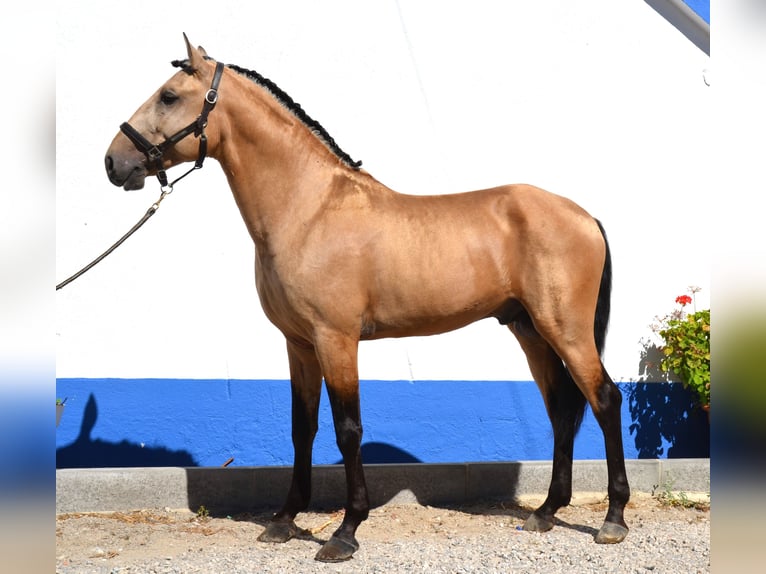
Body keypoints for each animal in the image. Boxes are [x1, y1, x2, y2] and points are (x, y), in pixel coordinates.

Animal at [106, 35, 632, 564]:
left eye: (169, 96)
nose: (114, 162)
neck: (310, 209)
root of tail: (584, 216)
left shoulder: (335, 339)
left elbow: (347, 429)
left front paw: (345, 531)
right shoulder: (299, 344)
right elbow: (302, 428)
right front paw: (284, 520)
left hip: (564, 329)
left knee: (605, 398)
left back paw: (613, 520)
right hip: (529, 330)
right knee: (563, 407)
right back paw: (545, 512)